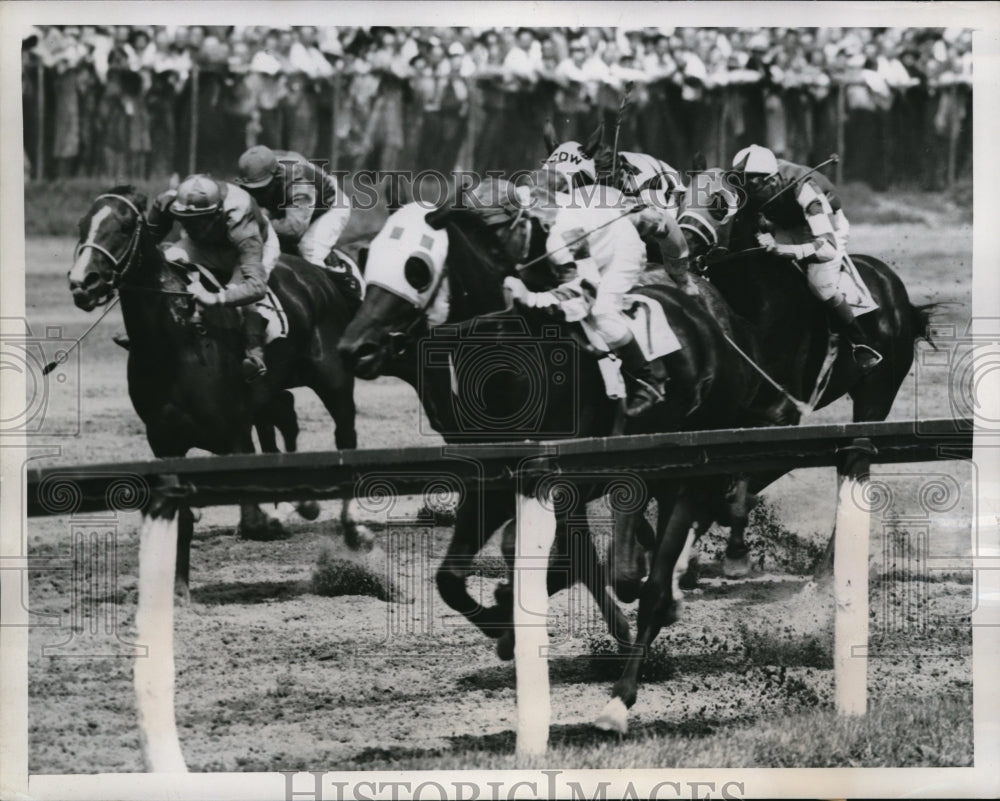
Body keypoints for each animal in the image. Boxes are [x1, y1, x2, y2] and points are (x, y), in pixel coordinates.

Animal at [70, 184, 366, 592]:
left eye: (125, 225)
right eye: (83, 224)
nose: (83, 283)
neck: (176, 341)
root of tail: (319, 274)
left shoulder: (233, 434)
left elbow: (251, 516)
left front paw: (272, 519)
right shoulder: (164, 441)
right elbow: (182, 515)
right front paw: (179, 588)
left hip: (332, 378)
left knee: (344, 435)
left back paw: (348, 523)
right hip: (273, 388)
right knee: (286, 411)